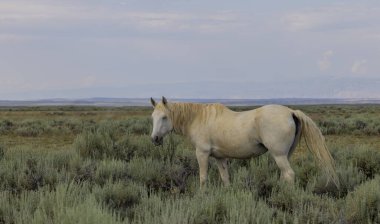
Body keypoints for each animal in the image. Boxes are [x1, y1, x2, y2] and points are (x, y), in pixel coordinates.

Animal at [148, 97, 338, 188]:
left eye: (164, 117)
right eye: (153, 117)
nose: (154, 139)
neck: (199, 119)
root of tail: (291, 112)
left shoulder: (202, 154)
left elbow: (203, 178)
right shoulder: (220, 157)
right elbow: (225, 178)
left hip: (279, 155)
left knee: (289, 175)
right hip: (286, 155)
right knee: (285, 175)